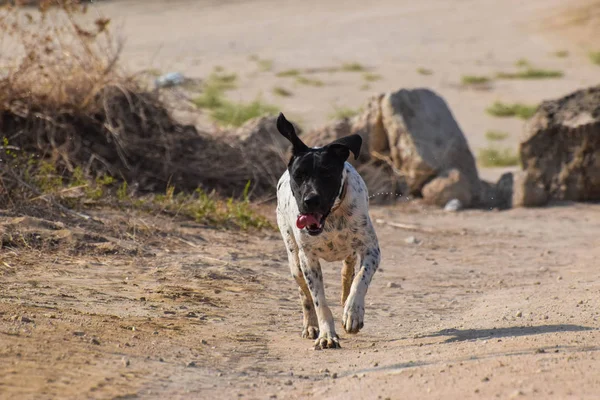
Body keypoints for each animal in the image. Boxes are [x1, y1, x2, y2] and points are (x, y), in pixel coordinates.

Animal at [276, 113, 380, 350]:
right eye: (299, 175)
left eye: (327, 174)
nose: (310, 200)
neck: (331, 218)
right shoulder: (308, 259)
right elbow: (318, 301)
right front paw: (326, 335)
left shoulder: (372, 250)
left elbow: (360, 279)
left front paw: (352, 313)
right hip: (294, 261)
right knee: (304, 295)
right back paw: (310, 326)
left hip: (351, 250)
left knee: (348, 270)